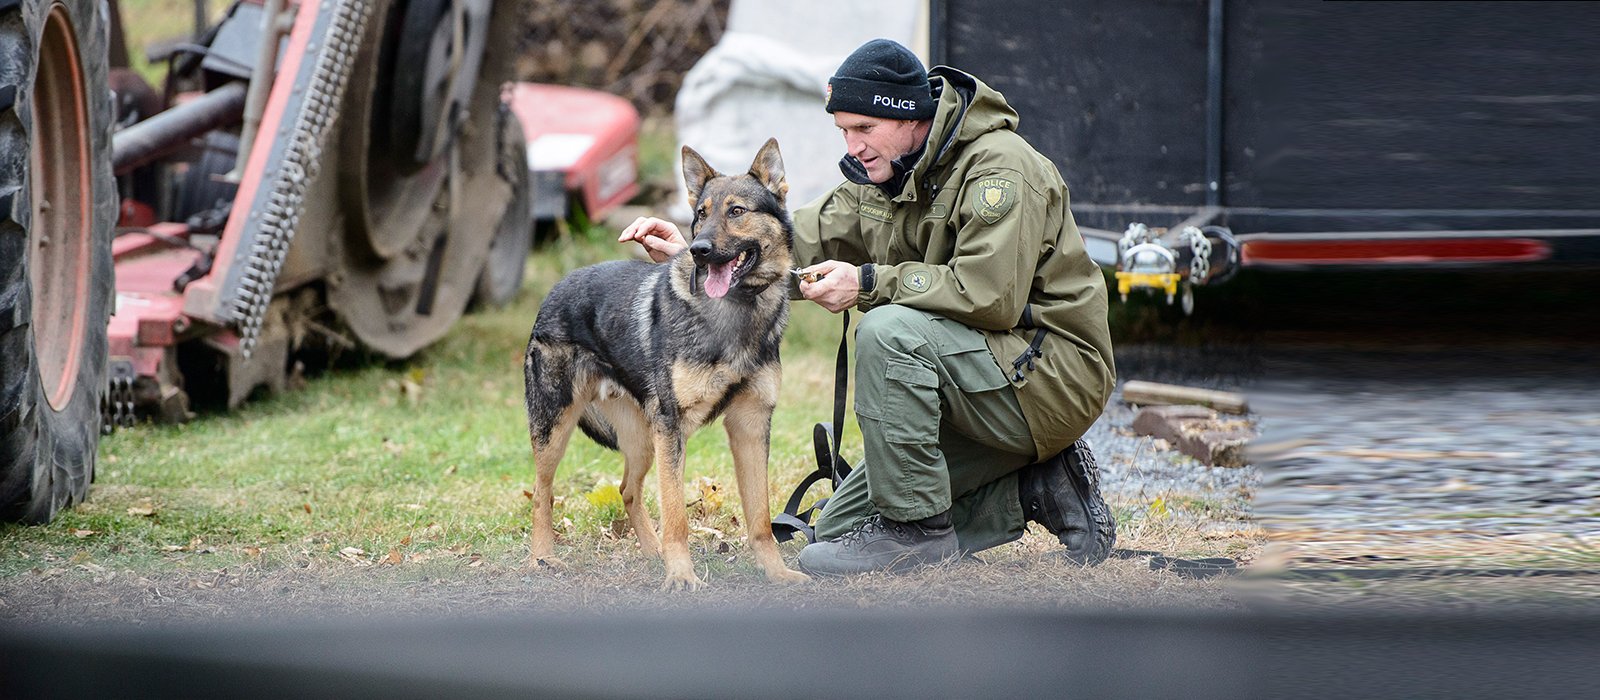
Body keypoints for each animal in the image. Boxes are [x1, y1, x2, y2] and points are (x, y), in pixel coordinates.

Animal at [524, 139, 806, 588]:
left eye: (736, 211)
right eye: (701, 215)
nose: (698, 250)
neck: (736, 311)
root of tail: (554, 291)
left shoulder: (751, 424)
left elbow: (760, 519)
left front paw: (777, 572)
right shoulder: (673, 426)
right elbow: (677, 516)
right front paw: (681, 577)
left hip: (642, 440)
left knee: (627, 490)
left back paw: (652, 551)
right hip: (557, 430)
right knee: (542, 494)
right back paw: (543, 558)